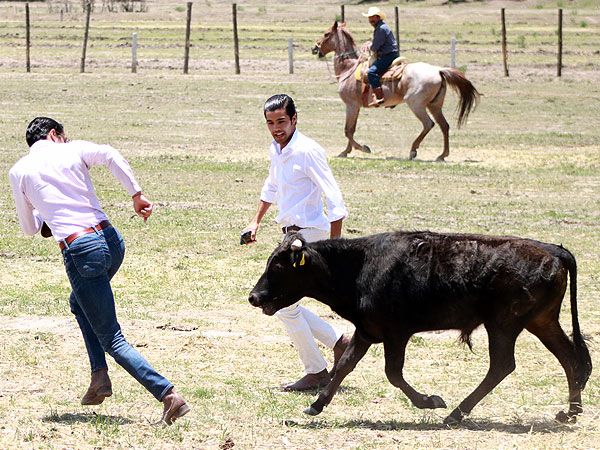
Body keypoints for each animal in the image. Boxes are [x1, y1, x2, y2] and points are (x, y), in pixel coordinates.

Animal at [312, 22, 480, 162]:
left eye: (326, 34)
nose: (315, 48)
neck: (348, 69)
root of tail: (438, 71)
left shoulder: (351, 105)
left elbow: (347, 130)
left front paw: (363, 148)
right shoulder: (356, 106)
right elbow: (351, 129)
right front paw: (346, 151)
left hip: (416, 104)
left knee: (428, 124)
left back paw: (413, 151)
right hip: (435, 105)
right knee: (444, 126)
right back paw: (442, 155)